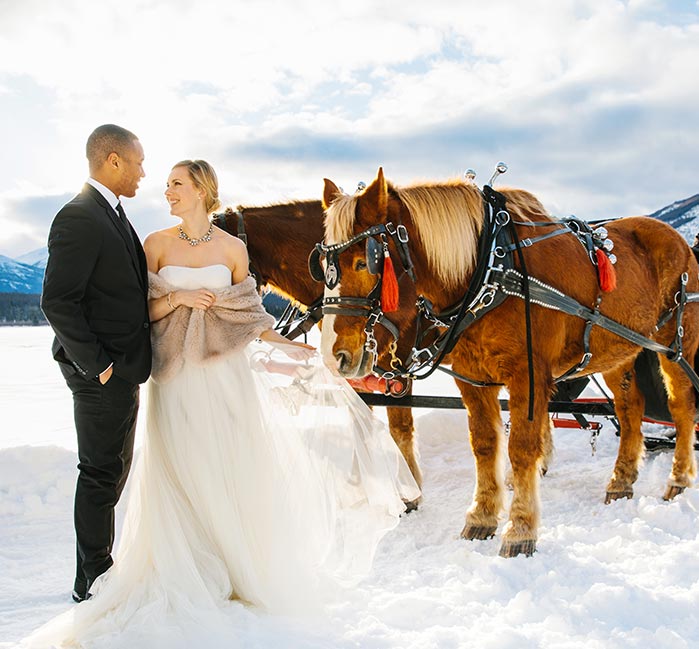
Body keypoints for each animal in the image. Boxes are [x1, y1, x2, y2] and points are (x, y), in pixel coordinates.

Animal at [318, 168, 699, 556]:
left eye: (364, 262)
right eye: (321, 267)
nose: (335, 356)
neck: (489, 265)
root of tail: (677, 240)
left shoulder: (528, 376)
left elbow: (521, 448)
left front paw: (520, 529)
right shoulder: (472, 377)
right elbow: (485, 444)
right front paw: (482, 516)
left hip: (676, 344)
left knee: (681, 406)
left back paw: (679, 478)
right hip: (616, 349)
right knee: (630, 406)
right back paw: (621, 480)